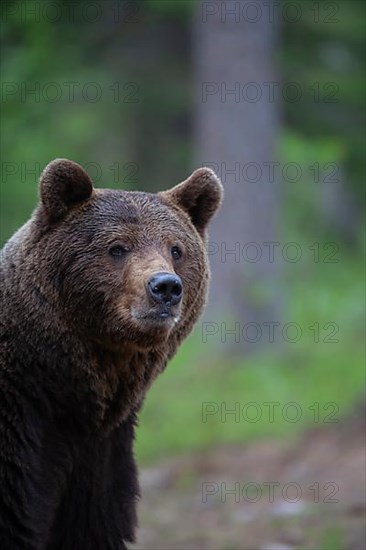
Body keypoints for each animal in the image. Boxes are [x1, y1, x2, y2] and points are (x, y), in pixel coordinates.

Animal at [0, 157, 223, 548]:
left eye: (176, 249)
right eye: (118, 247)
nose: (166, 287)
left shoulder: (100, 453)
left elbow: (93, 524)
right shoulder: (20, 432)